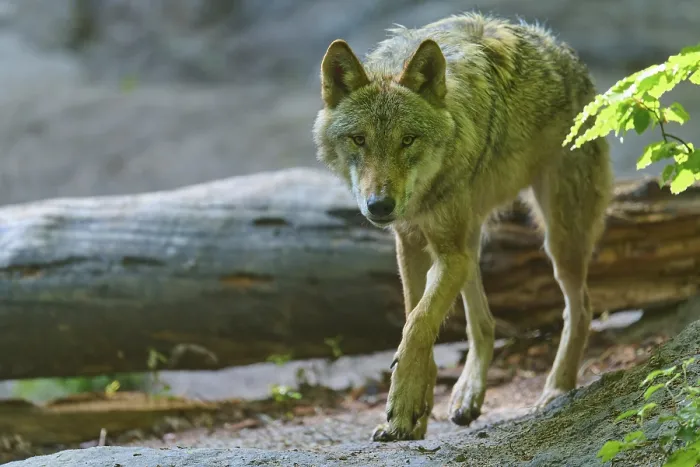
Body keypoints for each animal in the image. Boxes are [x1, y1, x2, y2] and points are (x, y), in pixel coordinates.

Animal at [311, 12, 613, 442]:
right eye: (359, 139)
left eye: (408, 140)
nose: (380, 205)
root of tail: (571, 58)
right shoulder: (411, 243)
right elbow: (415, 318)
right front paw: (414, 414)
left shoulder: (448, 253)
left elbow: (418, 324)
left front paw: (404, 407)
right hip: (470, 240)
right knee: (484, 324)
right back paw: (469, 394)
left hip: (556, 238)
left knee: (581, 308)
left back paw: (556, 389)